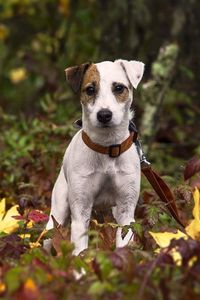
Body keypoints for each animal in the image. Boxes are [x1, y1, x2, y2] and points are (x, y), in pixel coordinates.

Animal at [44, 59, 144, 255]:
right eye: (90, 89)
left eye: (119, 88)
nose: (104, 114)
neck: (108, 148)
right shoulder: (80, 211)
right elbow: (79, 248)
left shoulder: (126, 211)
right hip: (57, 212)